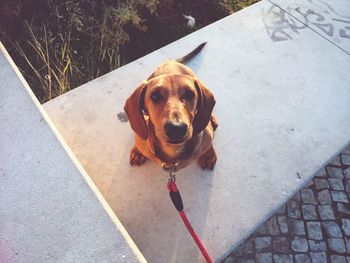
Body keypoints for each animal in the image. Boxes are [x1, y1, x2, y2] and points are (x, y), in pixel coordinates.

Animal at [123, 42, 216, 172]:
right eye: (155, 96)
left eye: (190, 94)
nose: (176, 128)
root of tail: (169, 61)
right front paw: (138, 151)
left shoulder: (207, 135)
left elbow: (209, 141)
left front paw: (208, 154)